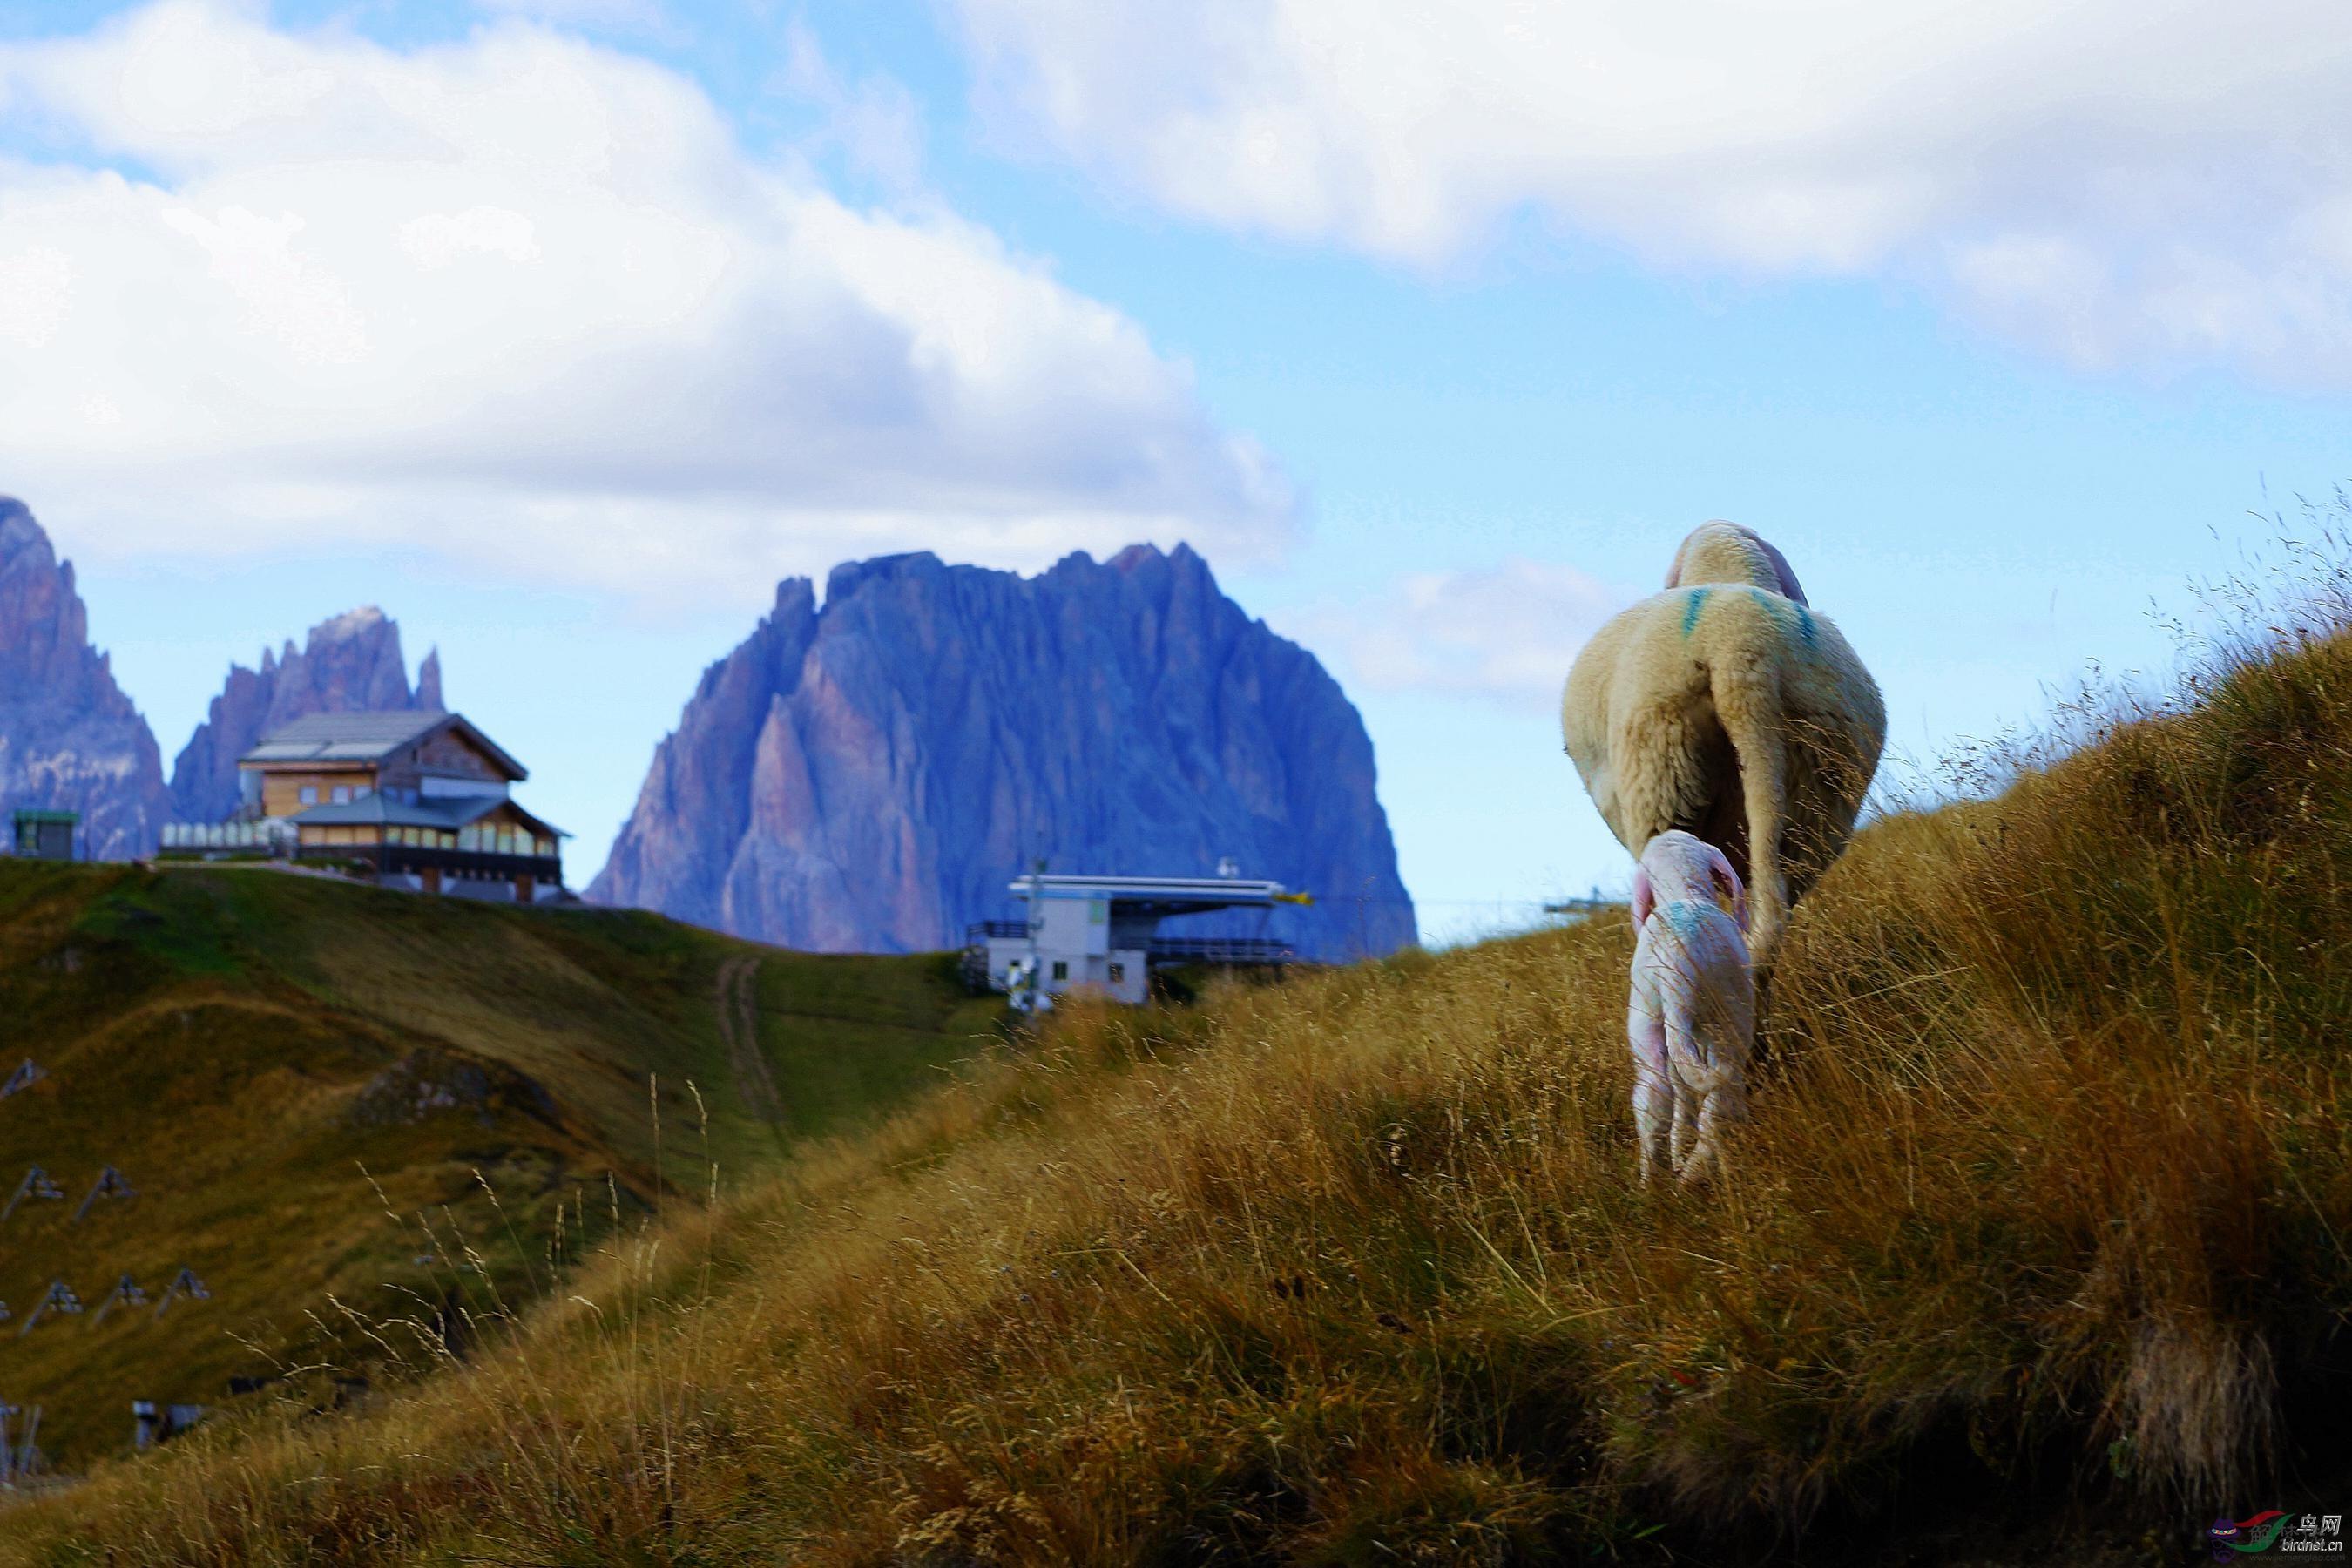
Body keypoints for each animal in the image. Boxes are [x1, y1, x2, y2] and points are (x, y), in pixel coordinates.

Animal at [1627, 827, 1759, 1185]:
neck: (1682, 890)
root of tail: (1674, 968)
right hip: (1725, 1026)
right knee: (1714, 1109)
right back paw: (1691, 1174)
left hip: (1647, 1023)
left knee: (1654, 1100)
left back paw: (1653, 1183)